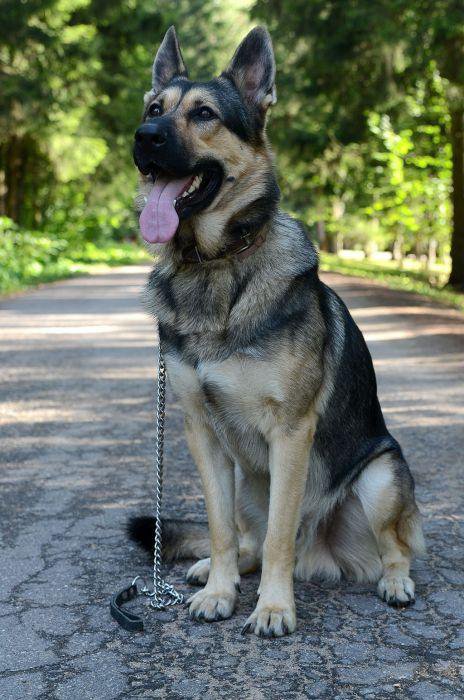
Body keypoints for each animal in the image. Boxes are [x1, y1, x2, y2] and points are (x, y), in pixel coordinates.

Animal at [130, 27, 424, 636]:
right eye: (153, 110)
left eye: (204, 114)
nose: (143, 138)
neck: (216, 266)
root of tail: (324, 554)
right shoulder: (202, 434)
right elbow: (221, 531)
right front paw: (221, 593)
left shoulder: (291, 433)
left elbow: (279, 537)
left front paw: (272, 608)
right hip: (247, 483)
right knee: (245, 539)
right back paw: (210, 570)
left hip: (381, 477)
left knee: (394, 545)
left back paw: (394, 582)